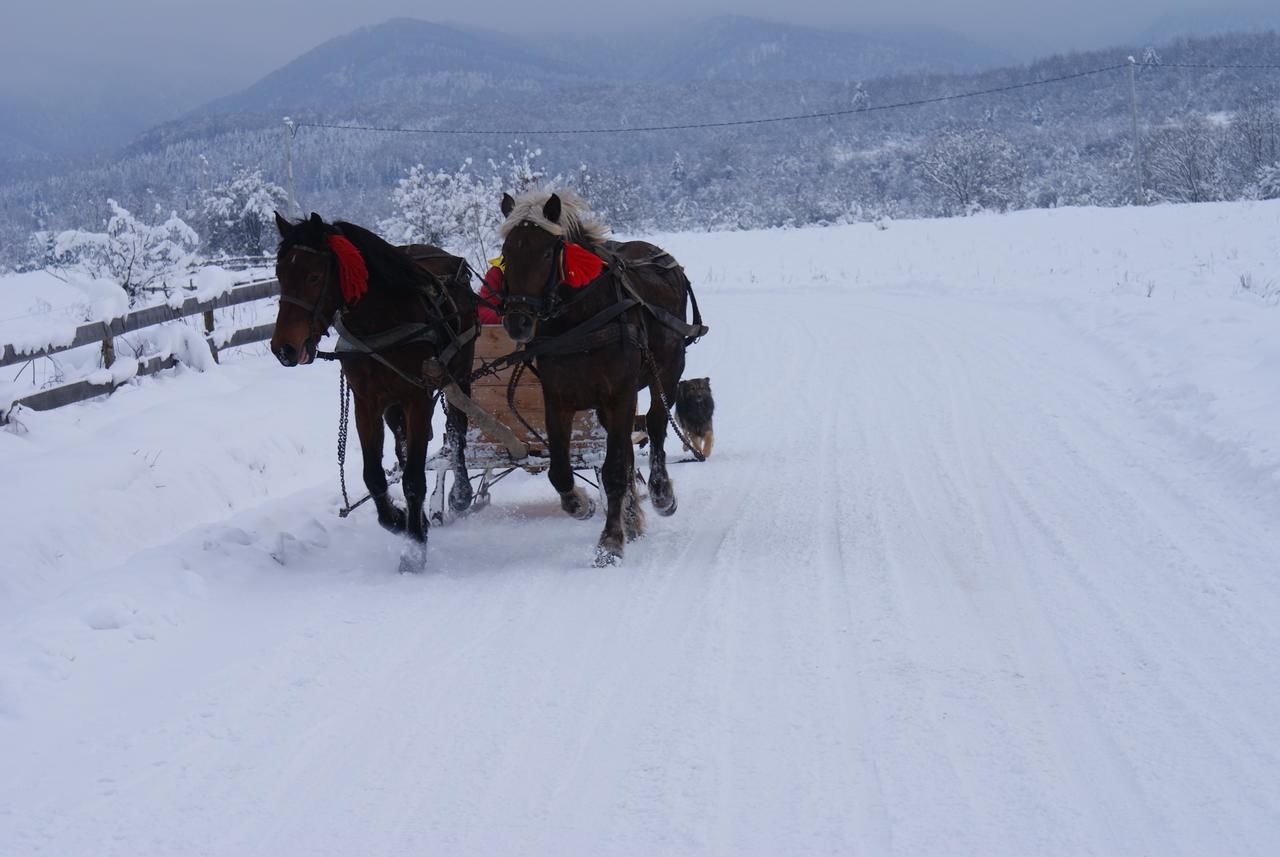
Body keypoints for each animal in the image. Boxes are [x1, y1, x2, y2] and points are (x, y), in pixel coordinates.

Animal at [270, 212, 476, 573]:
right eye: (280, 274)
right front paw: (401, 520)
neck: (381, 320)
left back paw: (461, 493)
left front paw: (414, 549)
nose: (284, 348)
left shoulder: (417, 397)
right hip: (393, 406)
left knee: (457, 431)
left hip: (459, 377)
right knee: (403, 445)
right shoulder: (367, 402)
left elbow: (413, 478)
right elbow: (374, 476)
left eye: (313, 276)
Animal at [496, 191, 706, 567]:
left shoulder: (620, 395)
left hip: (667, 373)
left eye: (546, 252)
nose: (517, 322)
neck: (581, 319)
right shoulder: (558, 399)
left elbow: (614, 470)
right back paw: (631, 517)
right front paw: (581, 504)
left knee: (655, 426)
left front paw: (610, 542)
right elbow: (560, 470)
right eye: (506, 253)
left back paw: (660, 493)